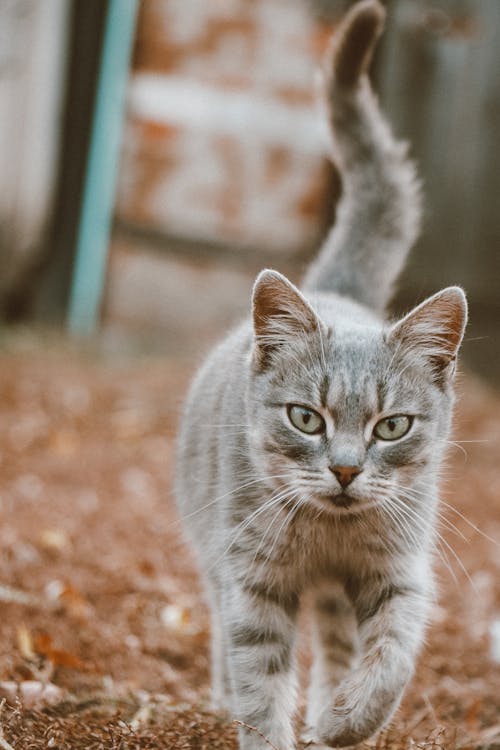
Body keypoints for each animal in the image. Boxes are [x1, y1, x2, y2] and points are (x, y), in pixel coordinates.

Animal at [175, 2, 464, 748]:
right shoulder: (251, 578)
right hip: (211, 548)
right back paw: (224, 698)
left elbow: (390, 659)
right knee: (223, 635)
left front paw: (344, 718)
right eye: (306, 417)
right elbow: (259, 681)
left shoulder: (401, 573)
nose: (344, 469)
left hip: (335, 594)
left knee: (337, 642)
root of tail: (334, 289)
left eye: (392, 427)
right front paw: (270, 725)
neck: (331, 538)